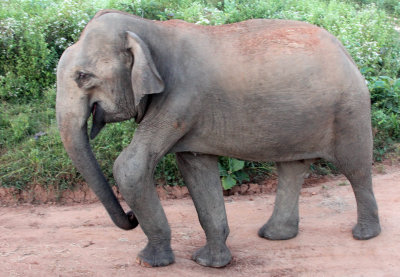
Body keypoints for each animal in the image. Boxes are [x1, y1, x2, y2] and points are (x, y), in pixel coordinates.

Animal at [56, 10, 382, 268]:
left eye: (83, 77)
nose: (130, 216)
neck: (149, 29)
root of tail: (346, 52)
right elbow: (197, 169)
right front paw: (210, 263)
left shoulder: (179, 98)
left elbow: (129, 166)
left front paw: (149, 261)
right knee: (292, 167)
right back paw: (275, 235)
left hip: (349, 108)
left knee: (355, 167)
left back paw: (365, 235)